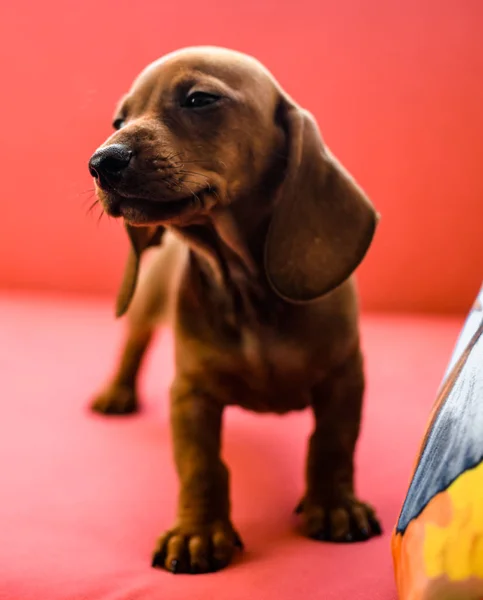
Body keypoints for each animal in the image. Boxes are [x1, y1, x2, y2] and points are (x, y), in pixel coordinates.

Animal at [87, 45, 382, 572]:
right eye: (119, 119)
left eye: (199, 99)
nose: (102, 162)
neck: (246, 289)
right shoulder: (191, 395)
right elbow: (201, 466)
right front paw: (198, 532)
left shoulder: (345, 377)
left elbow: (332, 445)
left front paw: (334, 505)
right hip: (146, 300)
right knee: (133, 343)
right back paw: (116, 392)